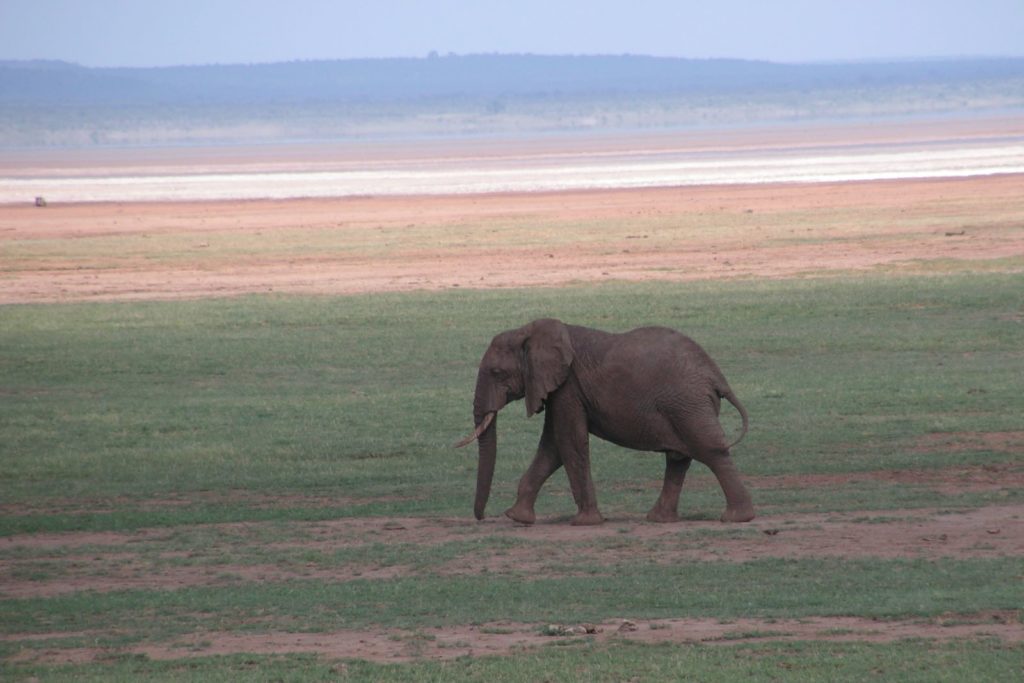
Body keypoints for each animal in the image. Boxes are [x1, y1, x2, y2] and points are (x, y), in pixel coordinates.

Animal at [456, 317, 753, 528]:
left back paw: (736, 518)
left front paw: (585, 522)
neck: (528, 331)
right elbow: (553, 446)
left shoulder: (568, 387)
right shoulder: (560, 390)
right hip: (685, 406)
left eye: (497, 372)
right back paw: (659, 519)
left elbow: (569, 441)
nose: (481, 518)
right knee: (679, 458)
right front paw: (518, 517)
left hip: (687, 404)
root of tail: (716, 376)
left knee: (710, 451)